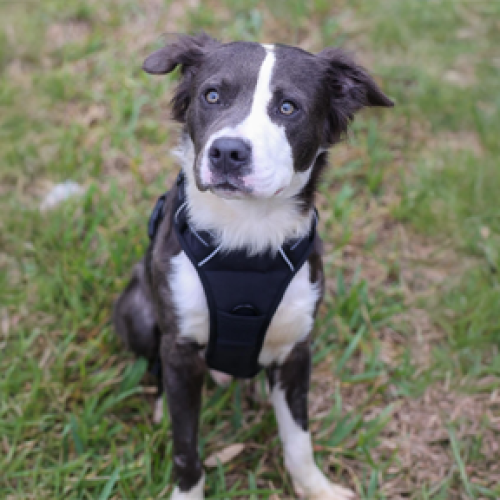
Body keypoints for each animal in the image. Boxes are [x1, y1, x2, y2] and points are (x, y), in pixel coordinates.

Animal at [114, 33, 394, 498]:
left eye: (288, 107)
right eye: (211, 95)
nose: (227, 152)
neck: (246, 233)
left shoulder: (298, 348)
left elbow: (299, 439)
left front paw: (315, 487)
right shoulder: (180, 346)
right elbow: (185, 446)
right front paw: (187, 490)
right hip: (136, 311)